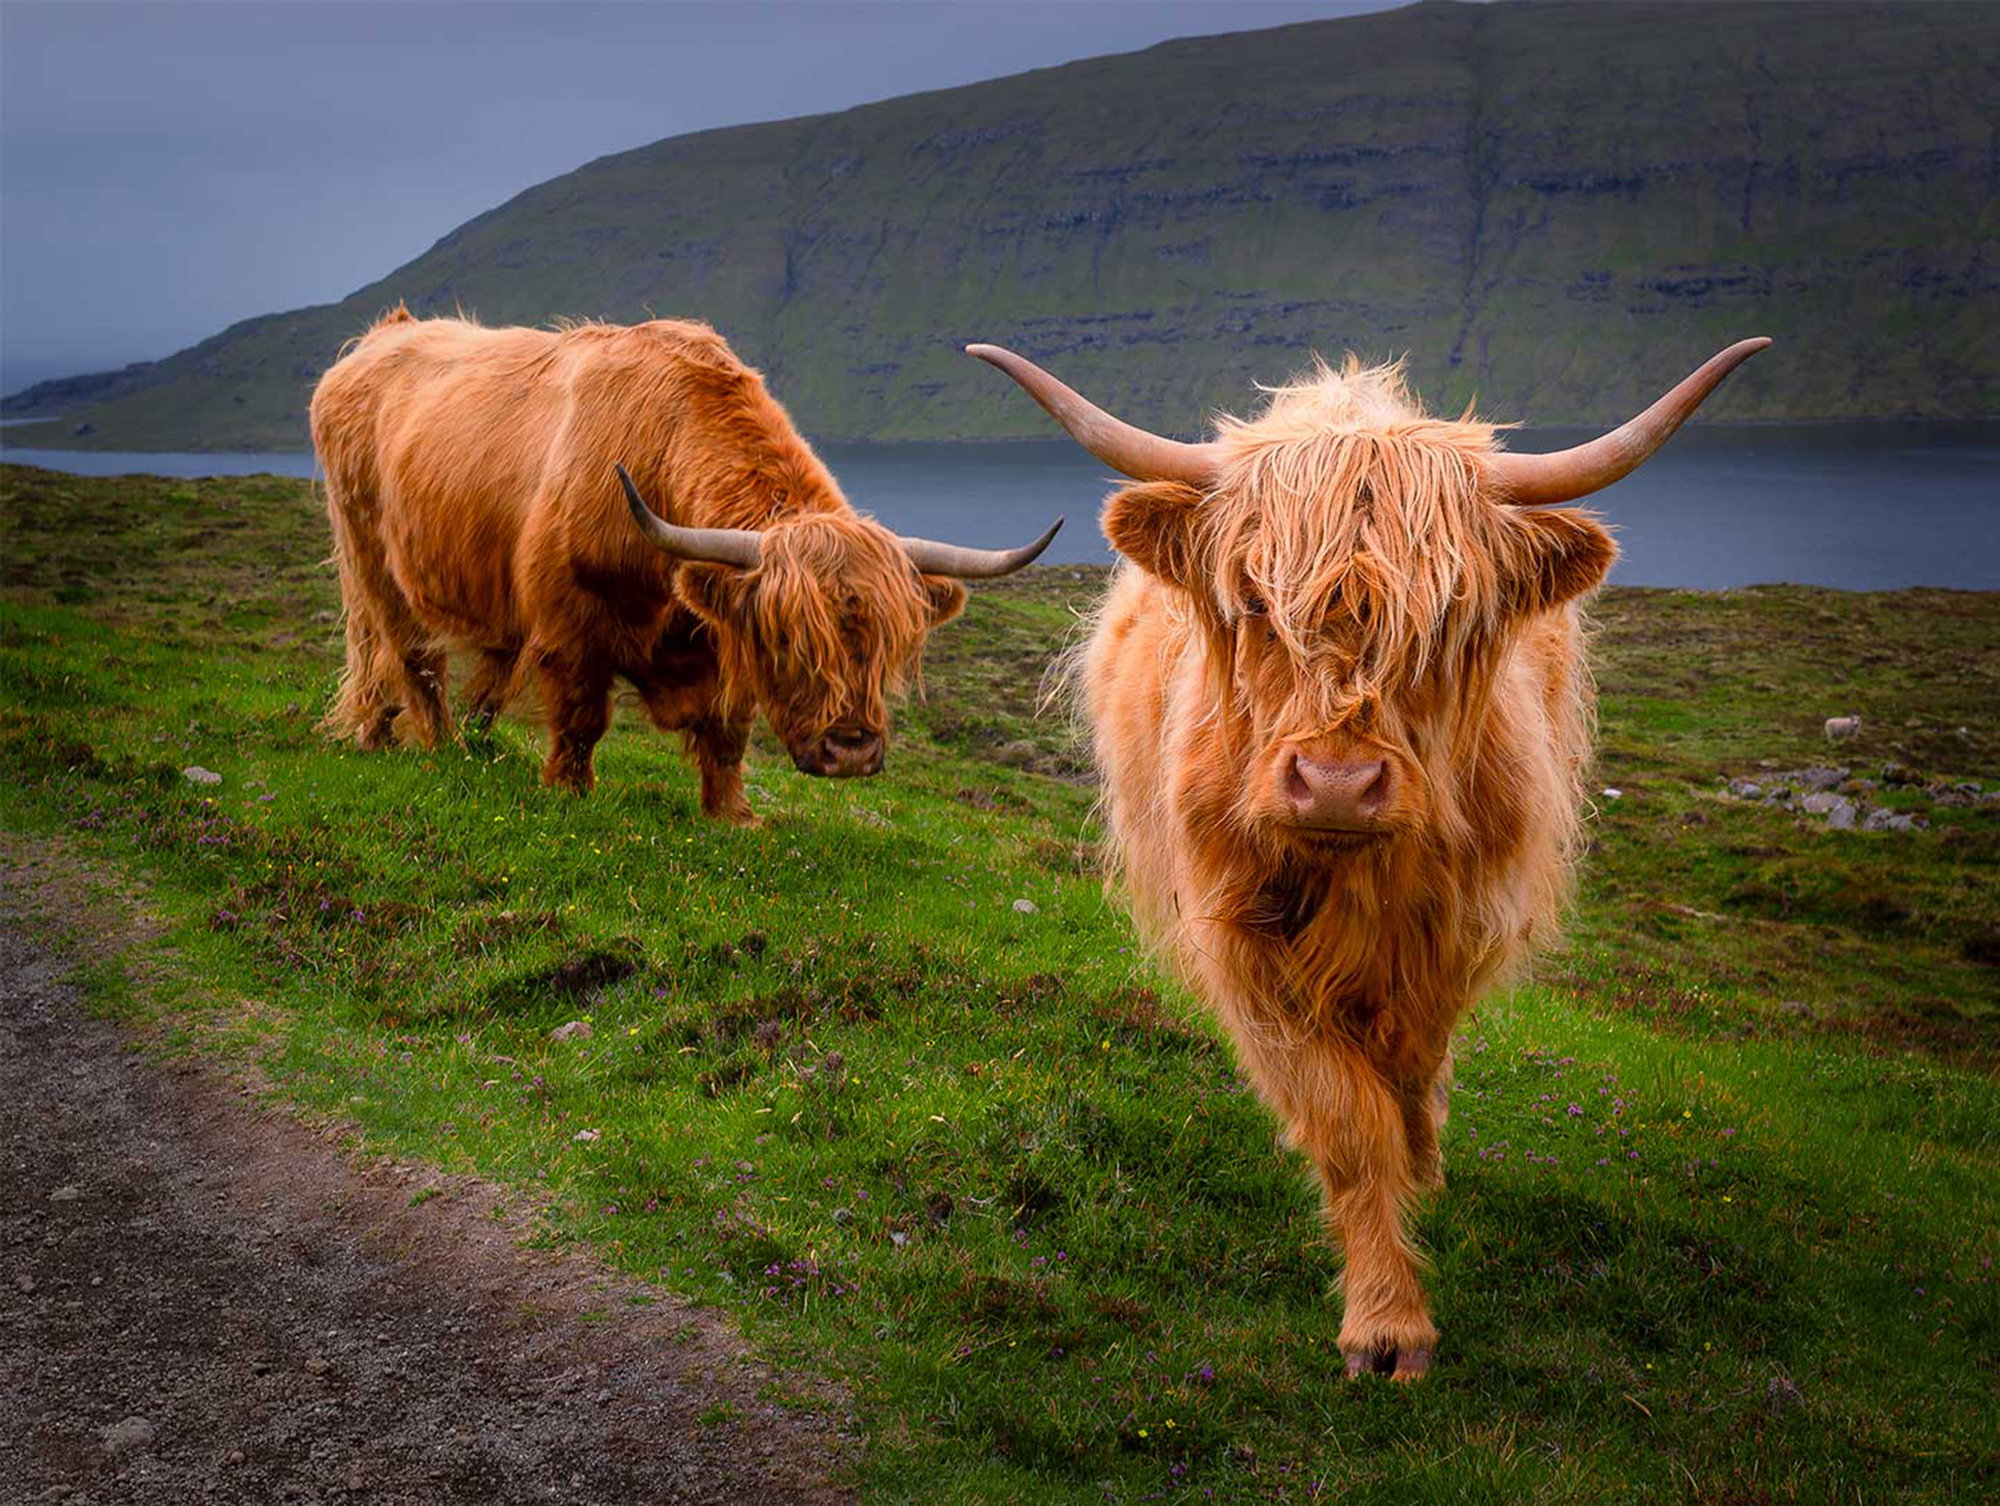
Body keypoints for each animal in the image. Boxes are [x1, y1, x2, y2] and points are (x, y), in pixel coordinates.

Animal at [312, 310, 1059, 822]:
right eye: (787, 637)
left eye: (888, 642)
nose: (850, 750)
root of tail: (374, 343)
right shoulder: (570, 627)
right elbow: (582, 716)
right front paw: (570, 790)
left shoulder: (719, 638)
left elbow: (727, 733)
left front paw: (733, 815)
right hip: (372, 557)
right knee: (405, 656)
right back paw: (426, 745)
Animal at [971, 335, 1770, 1379]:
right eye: (1256, 600)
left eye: (1448, 614)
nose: (1338, 785)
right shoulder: (1247, 947)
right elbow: (1347, 1121)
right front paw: (1386, 1322)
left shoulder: (1455, 932)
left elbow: (1411, 1069)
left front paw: (1417, 1175)